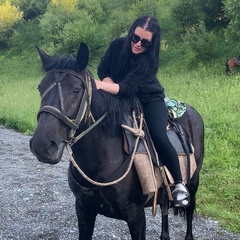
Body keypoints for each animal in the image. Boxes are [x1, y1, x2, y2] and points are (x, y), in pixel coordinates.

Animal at [29, 43, 203, 240]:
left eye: (76, 90)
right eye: (40, 88)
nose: (41, 145)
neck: (100, 160)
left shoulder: (135, 215)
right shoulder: (83, 208)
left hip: (193, 182)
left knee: (189, 211)